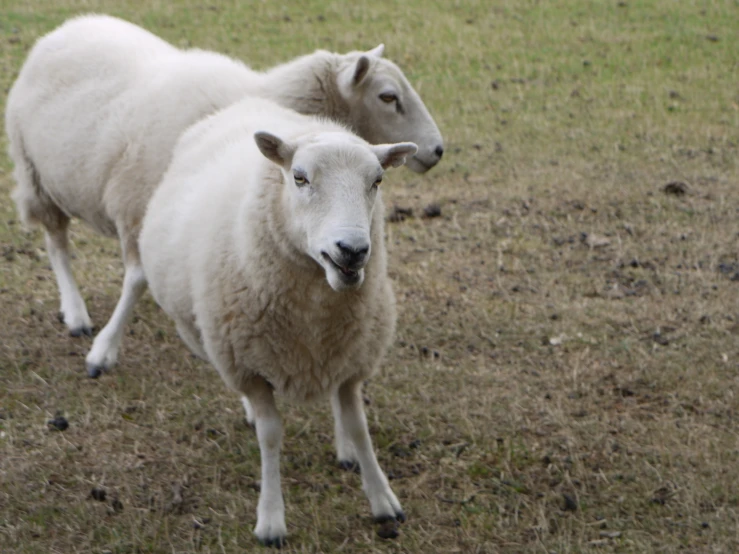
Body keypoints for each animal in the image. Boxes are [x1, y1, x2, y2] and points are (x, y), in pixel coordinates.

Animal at [139, 95, 416, 544]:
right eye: (300, 178)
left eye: (377, 180)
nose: (353, 250)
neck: (314, 314)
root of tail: (246, 101)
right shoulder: (249, 368)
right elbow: (270, 436)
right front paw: (270, 518)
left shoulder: (353, 358)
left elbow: (359, 425)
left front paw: (381, 498)